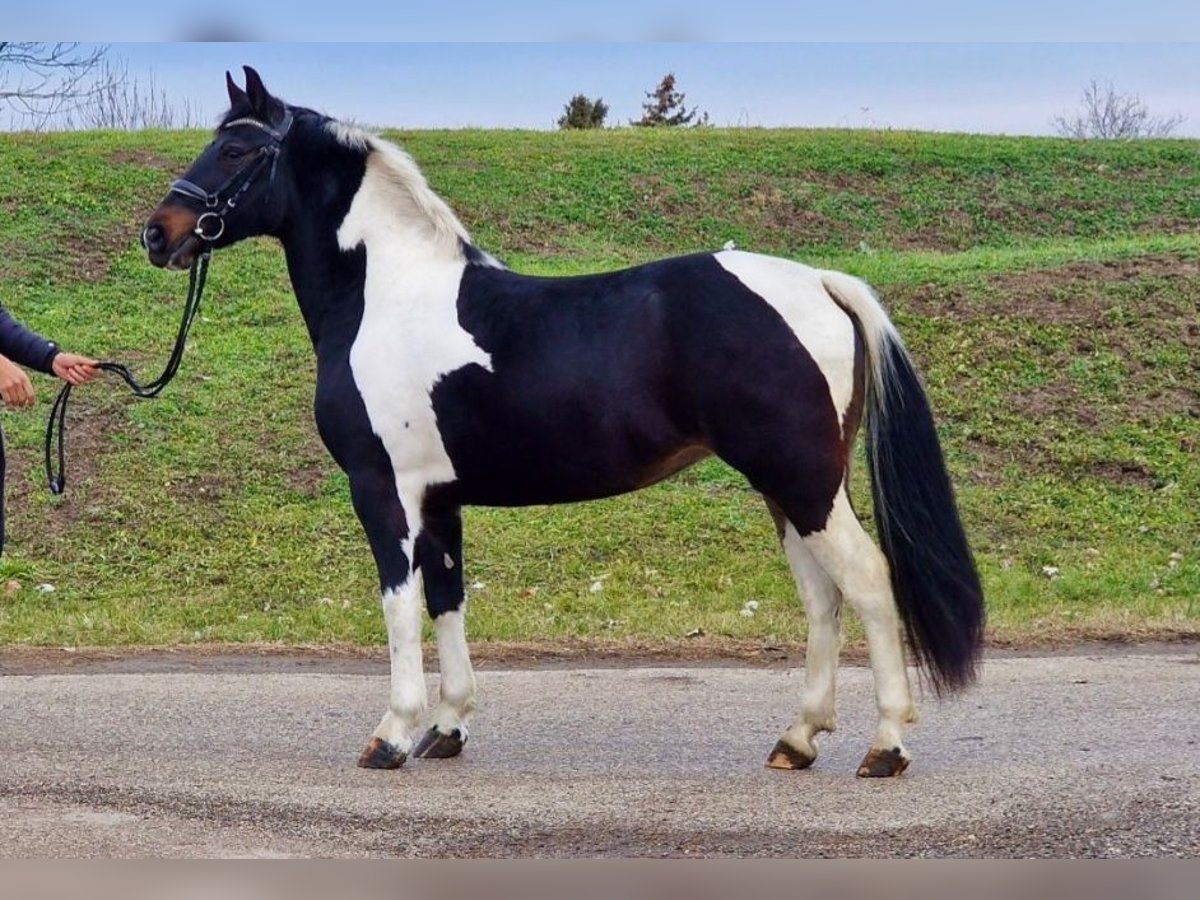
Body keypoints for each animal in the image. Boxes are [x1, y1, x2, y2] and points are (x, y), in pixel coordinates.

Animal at [142, 68, 984, 777]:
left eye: (238, 149)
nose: (159, 233)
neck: (386, 297)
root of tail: (820, 281)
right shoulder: (440, 501)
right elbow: (446, 600)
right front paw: (447, 728)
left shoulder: (383, 491)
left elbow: (399, 605)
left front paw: (392, 734)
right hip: (792, 489)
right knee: (822, 597)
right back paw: (798, 739)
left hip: (803, 482)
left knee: (868, 582)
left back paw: (886, 745)